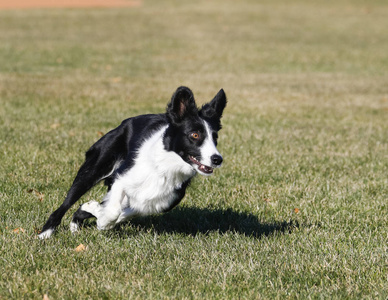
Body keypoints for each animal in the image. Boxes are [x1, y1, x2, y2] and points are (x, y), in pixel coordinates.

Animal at [38, 86, 226, 239]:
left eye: (215, 137)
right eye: (195, 135)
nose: (217, 159)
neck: (164, 165)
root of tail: (124, 123)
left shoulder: (159, 202)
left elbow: (123, 212)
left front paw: (94, 212)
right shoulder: (121, 178)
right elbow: (113, 211)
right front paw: (99, 216)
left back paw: (76, 224)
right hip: (93, 169)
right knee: (65, 204)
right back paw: (45, 234)